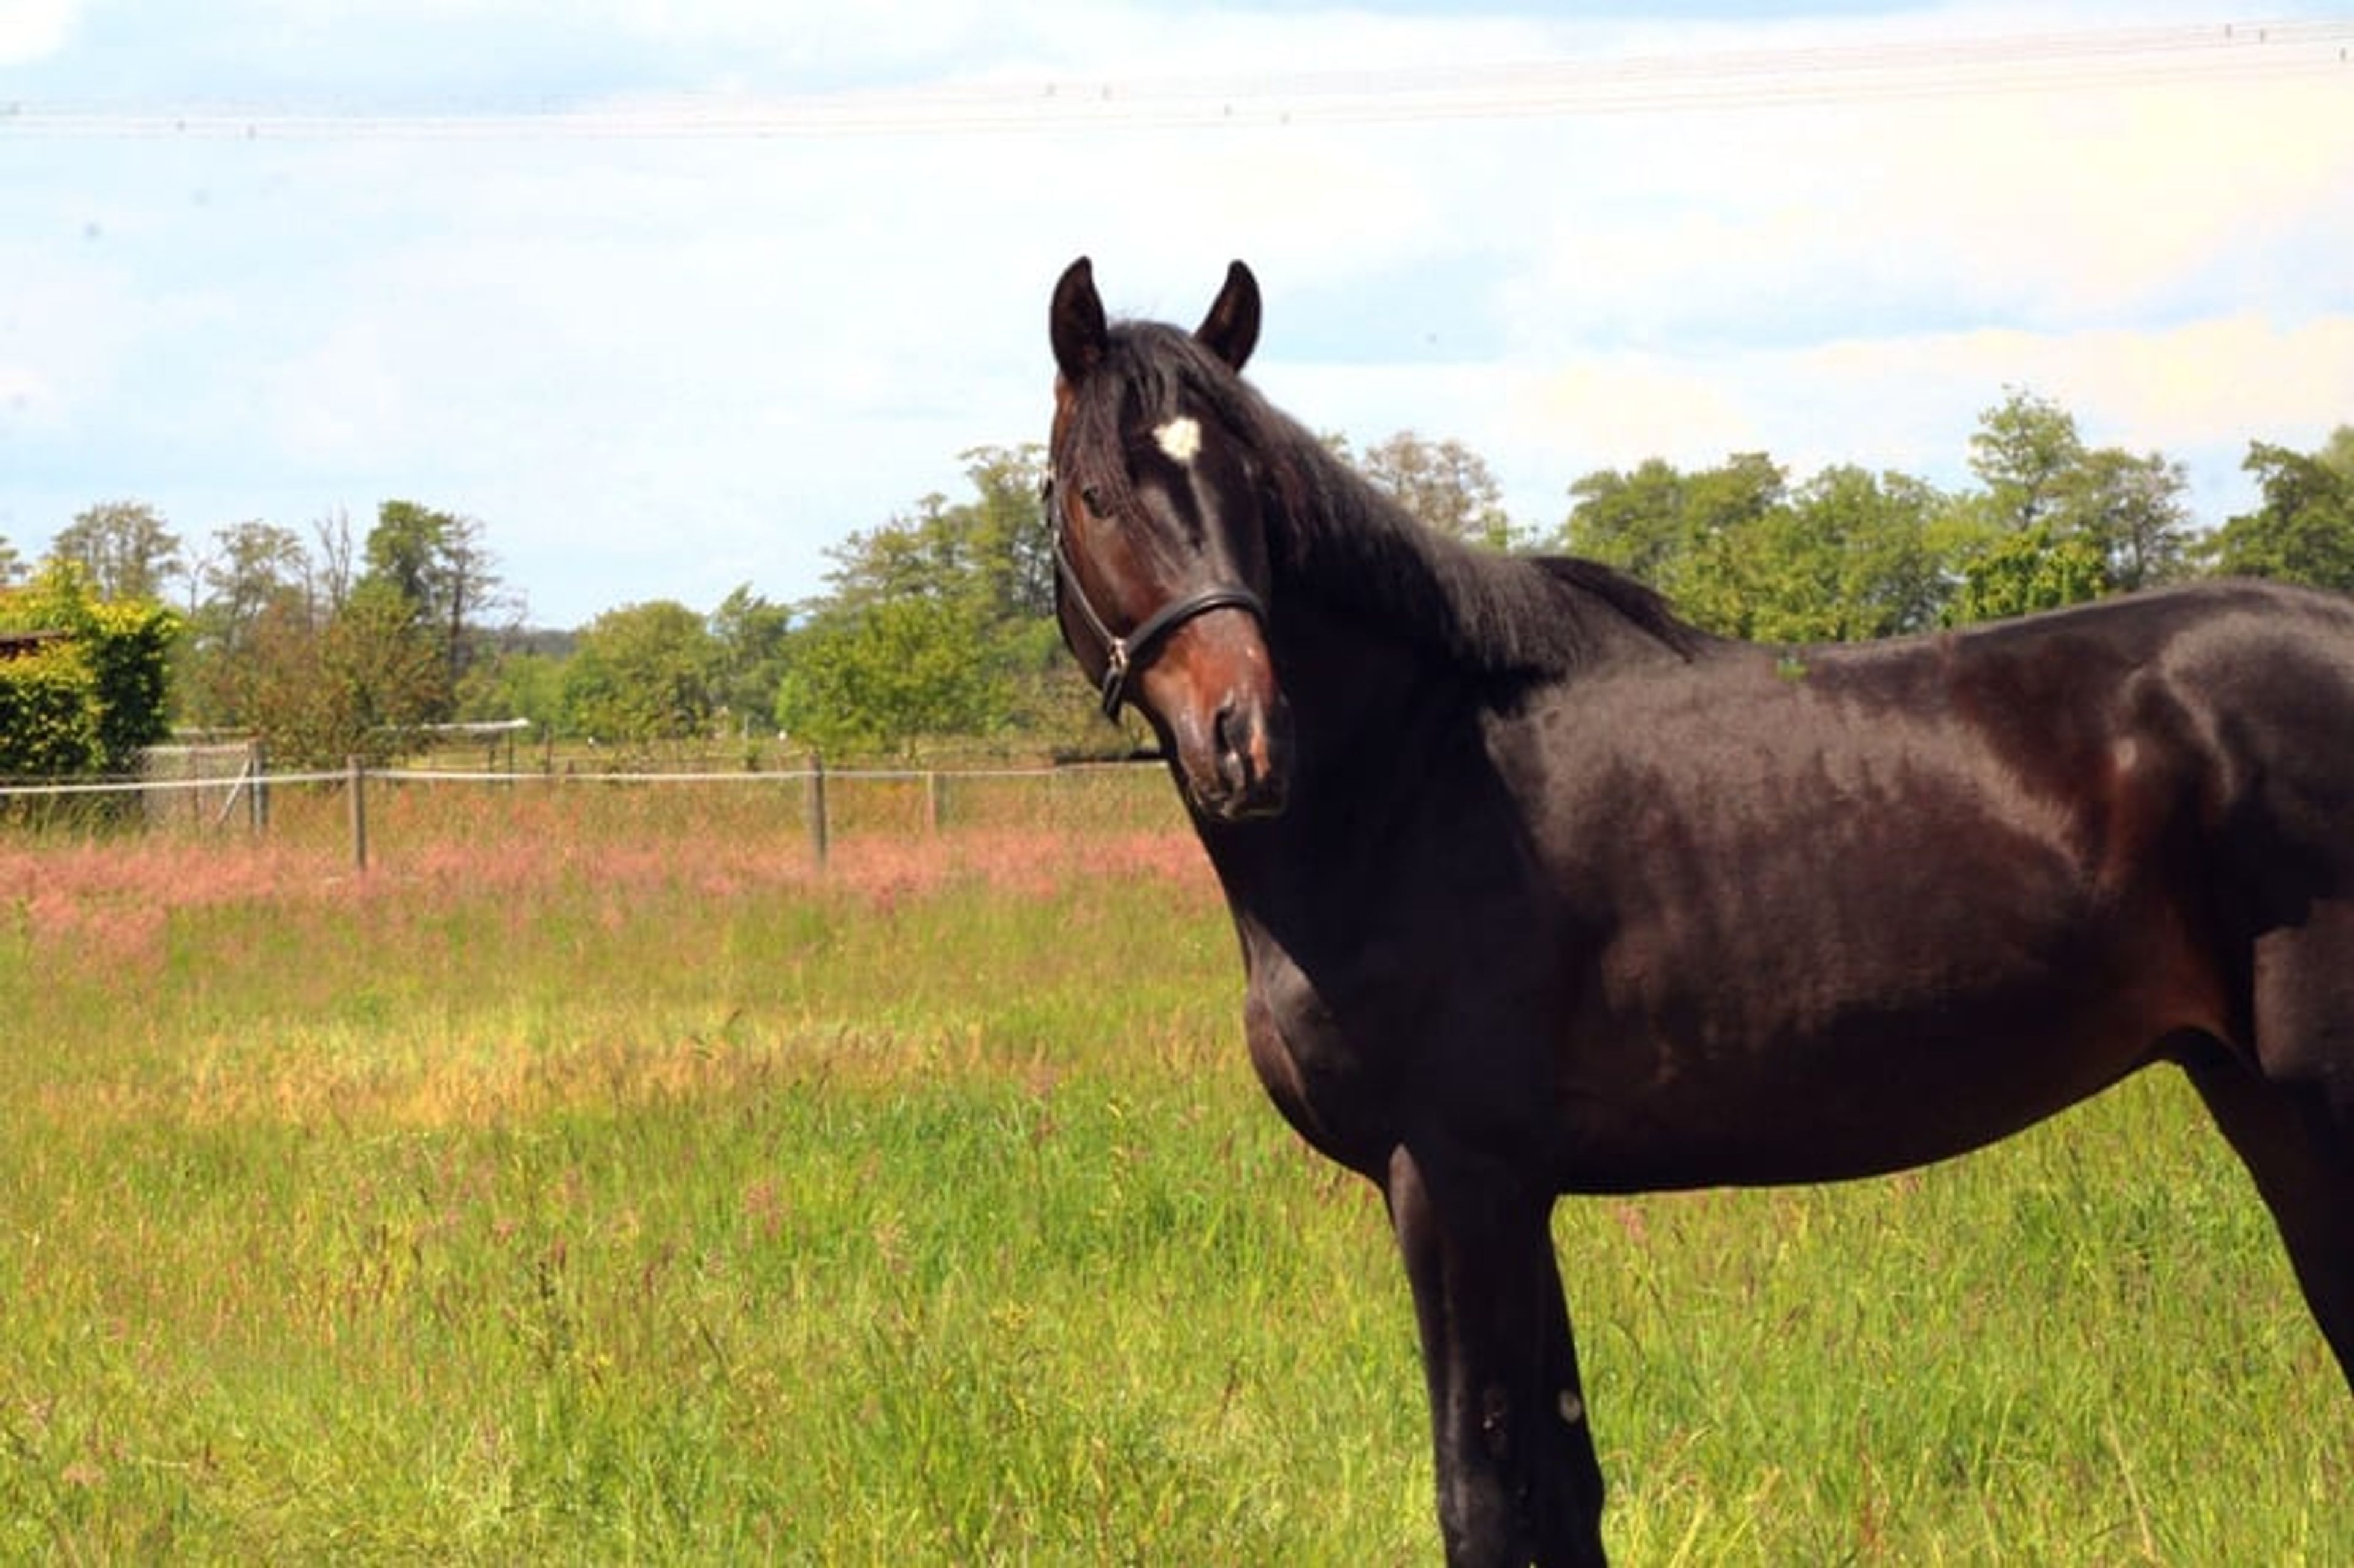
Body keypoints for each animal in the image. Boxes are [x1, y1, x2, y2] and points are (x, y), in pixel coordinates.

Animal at [1042, 256, 2353, 1566]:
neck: (1412, 778)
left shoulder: (1451, 1176)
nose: (1247, 741)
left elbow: (1484, 1492)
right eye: (1099, 496)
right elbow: (1562, 1486)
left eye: (1253, 494)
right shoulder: (1516, 1190)